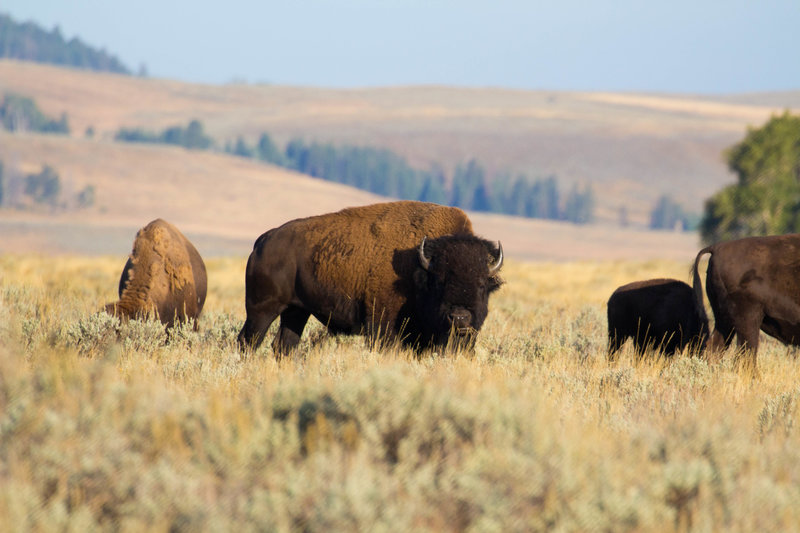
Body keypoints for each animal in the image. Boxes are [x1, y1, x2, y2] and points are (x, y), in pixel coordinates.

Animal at [234, 202, 504, 356]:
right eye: (439, 281)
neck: (419, 268)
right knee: (248, 341)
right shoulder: (384, 326)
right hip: (261, 309)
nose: (459, 318)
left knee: (284, 345)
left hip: (296, 311)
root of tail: (263, 241)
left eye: (482, 284)